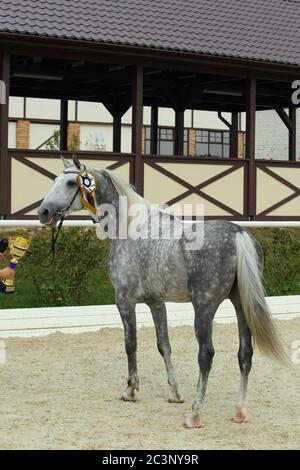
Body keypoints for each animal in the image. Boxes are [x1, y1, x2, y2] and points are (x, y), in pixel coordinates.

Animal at [38, 156, 286, 428]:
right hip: (241, 305)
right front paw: (174, 393)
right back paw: (239, 411)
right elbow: (164, 345)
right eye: (55, 180)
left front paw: (130, 390)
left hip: (204, 307)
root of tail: (238, 234)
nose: (43, 212)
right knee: (245, 353)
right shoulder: (156, 303)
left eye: (72, 183)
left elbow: (131, 344)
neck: (131, 228)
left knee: (206, 354)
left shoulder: (124, 300)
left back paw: (194, 414)